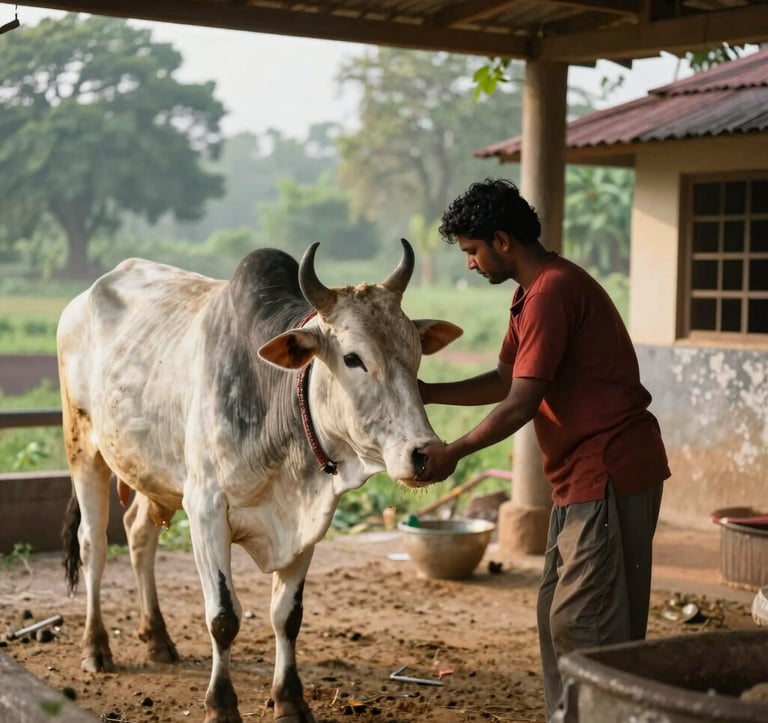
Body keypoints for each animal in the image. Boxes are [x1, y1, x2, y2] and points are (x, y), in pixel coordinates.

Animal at [57, 238, 462, 723]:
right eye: (353, 358)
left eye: (416, 353)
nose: (425, 454)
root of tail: (83, 298)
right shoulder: (206, 512)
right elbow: (223, 618)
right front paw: (220, 704)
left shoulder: (307, 521)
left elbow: (287, 616)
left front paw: (289, 699)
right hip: (85, 449)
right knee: (93, 545)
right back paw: (96, 648)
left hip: (150, 471)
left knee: (139, 534)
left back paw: (157, 638)